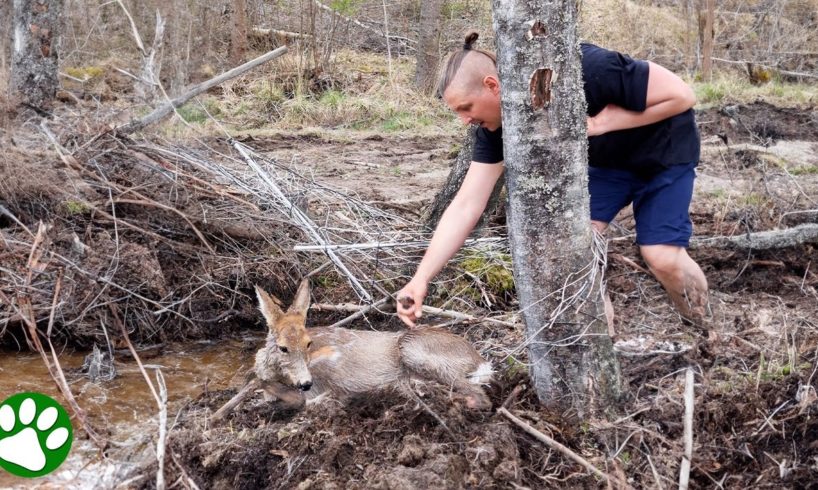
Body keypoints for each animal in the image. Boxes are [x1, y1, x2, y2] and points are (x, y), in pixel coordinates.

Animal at [249, 280, 490, 410]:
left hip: (411, 347)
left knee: (479, 395)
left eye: (308, 343)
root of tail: (480, 360)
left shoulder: (320, 382)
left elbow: (296, 398)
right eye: (283, 347)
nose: (305, 382)